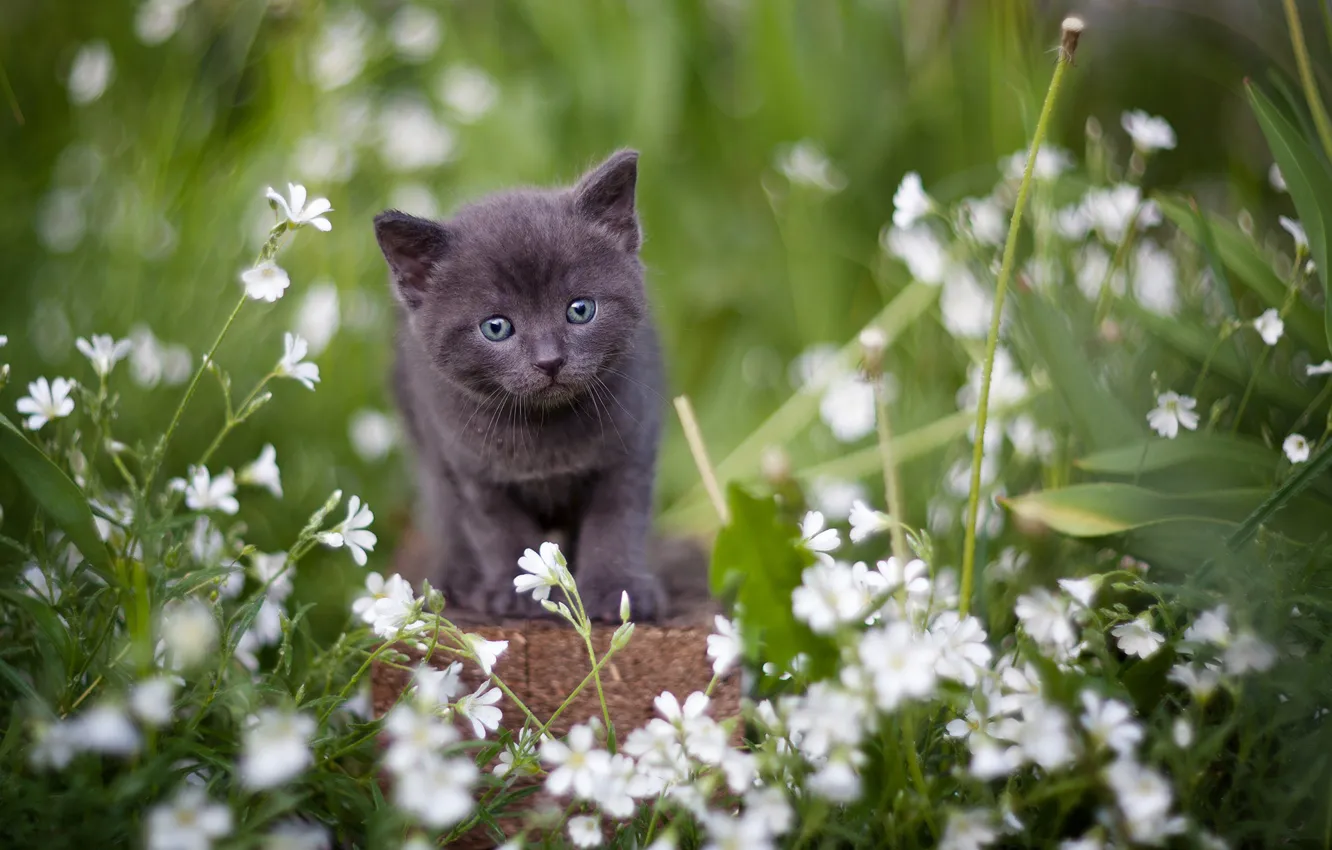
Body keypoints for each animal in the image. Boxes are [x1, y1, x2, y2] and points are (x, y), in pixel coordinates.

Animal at [375, 149, 666, 623]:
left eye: (581, 309)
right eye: (496, 327)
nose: (549, 360)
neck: (544, 429)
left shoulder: (631, 451)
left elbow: (616, 521)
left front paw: (617, 589)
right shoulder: (472, 470)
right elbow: (498, 528)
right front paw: (516, 592)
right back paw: (459, 577)